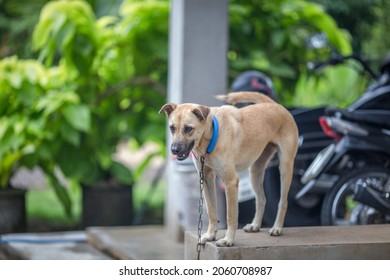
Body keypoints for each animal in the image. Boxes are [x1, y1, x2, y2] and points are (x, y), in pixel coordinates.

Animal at [158, 91, 298, 246]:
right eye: (172, 128)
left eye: (188, 128)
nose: (174, 150)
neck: (211, 136)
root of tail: (275, 105)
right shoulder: (206, 179)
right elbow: (212, 212)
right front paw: (210, 235)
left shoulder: (231, 182)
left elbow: (231, 215)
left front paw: (228, 239)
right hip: (255, 171)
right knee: (261, 199)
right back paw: (255, 225)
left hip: (285, 167)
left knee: (283, 202)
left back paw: (277, 228)